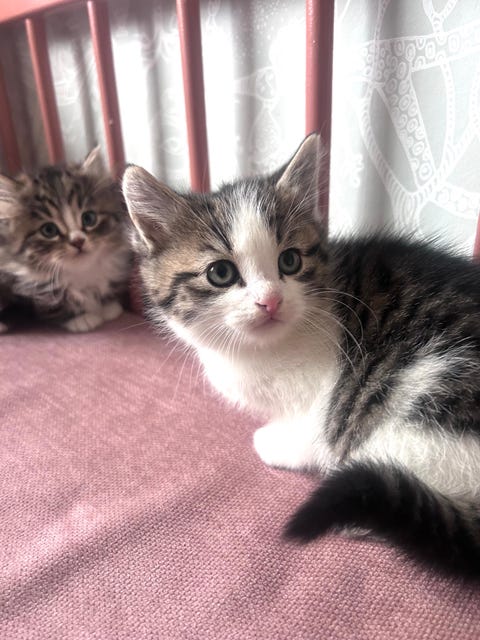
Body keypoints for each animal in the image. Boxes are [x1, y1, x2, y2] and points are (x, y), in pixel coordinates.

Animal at [0, 147, 131, 333]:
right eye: (48, 230)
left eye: (89, 218)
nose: (78, 241)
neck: (82, 272)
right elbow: (53, 305)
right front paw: (81, 318)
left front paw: (108, 307)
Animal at [122, 134, 480, 578]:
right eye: (220, 273)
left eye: (289, 260)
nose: (270, 301)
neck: (261, 349)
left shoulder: (327, 392)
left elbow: (314, 430)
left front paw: (276, 442)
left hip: (427, 391)